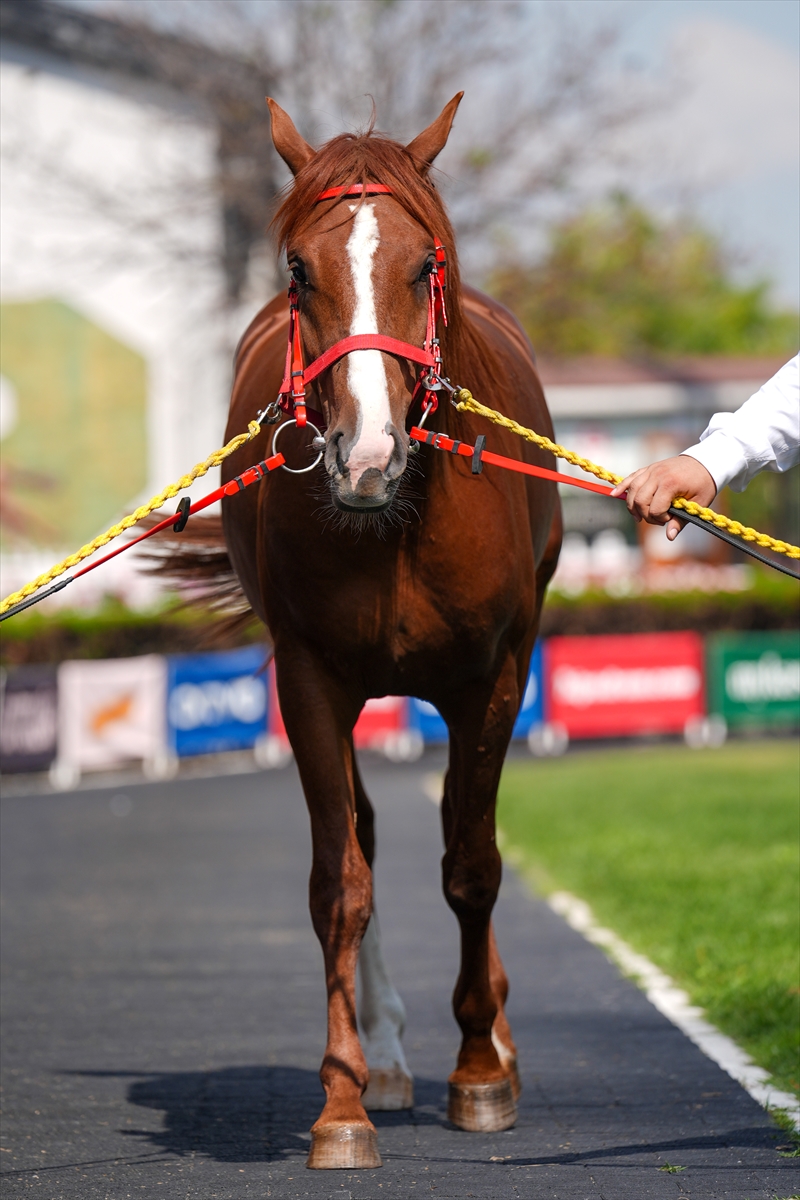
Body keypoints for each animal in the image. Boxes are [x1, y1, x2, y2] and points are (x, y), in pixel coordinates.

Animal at [219, 96, 561, 1171]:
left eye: (424, 265)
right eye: (298, 269)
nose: (364, 455)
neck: (397, 519)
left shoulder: (492, 679)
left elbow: (473, 864)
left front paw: (482, 1069)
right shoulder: (309, 682)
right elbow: (343, 884)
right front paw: (344, 1101)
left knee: (463, 834)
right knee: (366, 833)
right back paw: (391, 1058)